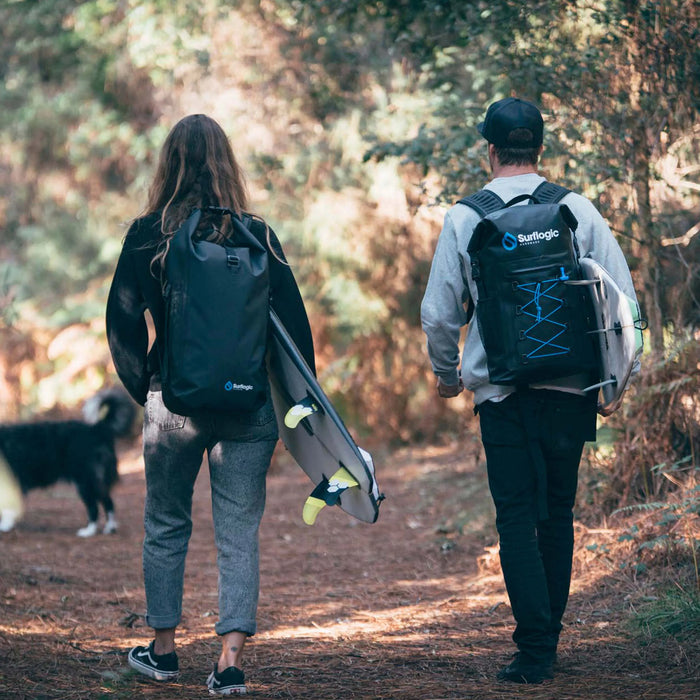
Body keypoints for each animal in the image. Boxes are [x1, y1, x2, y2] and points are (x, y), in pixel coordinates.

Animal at [0, 388, 136, 536]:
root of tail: (96, 429)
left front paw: (5, 525)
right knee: (108, 501)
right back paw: (110, 527)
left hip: (85, 481)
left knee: (95, 506)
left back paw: (89, 531)